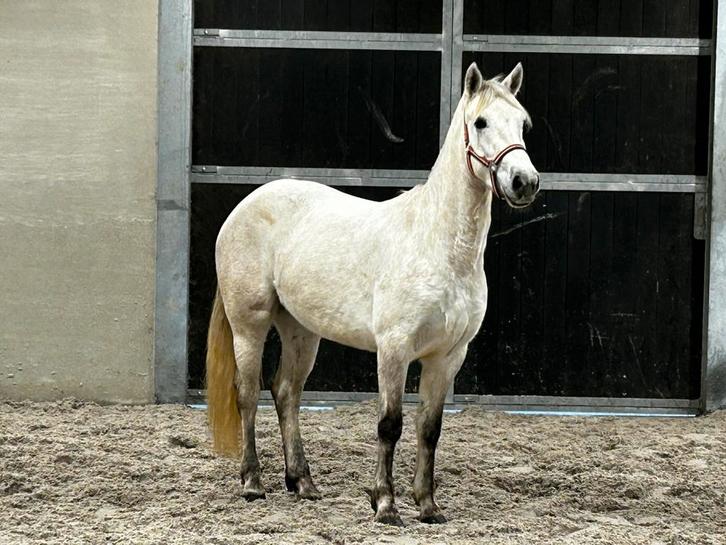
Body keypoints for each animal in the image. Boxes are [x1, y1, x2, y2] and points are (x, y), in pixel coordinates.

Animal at [205, 62, 539, 525]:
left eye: (523, 123)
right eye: (481, 122)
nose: (524, 182)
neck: (438, 245)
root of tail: (244, 207)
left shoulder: (448, 356)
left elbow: (429, 429)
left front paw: (428, 507)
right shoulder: (394, 349)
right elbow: (390, 424)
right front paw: (385, 504)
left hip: (302, 331)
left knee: (286, 392)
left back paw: (303, 483)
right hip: (249, 324)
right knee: (248, 393)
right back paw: (253, 483)